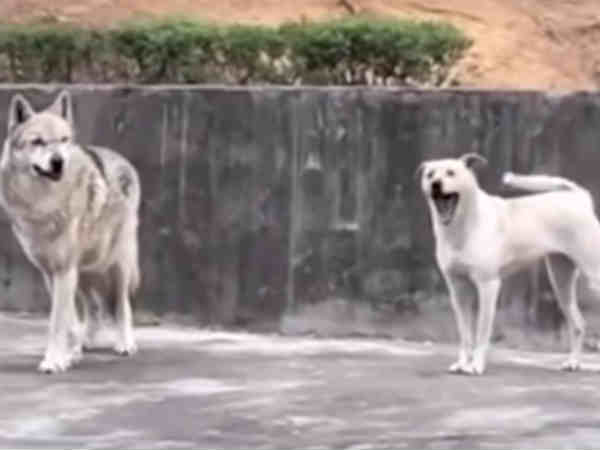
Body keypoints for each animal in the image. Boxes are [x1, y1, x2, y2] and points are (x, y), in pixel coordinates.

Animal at [0, 90, 141, 373]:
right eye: (38, 142)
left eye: (63, 140)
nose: (58, 162)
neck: (44, 205)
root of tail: (123, 160)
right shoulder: (51, 272)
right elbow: (69, 320)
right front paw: (69, 352)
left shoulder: (64, 270)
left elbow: (58, 322)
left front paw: (54, 360)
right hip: (84, 271)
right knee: (94, 309)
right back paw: (85, 342)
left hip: (115, 264)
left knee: (121, 305)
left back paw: (125, 343)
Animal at [418, 153, 600, 375]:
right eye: (429, 174)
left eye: (451, 173)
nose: (435, 184)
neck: (462, 226)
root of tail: (579, 199)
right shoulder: (457, 288)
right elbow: (465, 334)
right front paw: (462, 363)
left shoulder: (488, 285)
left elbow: (481, 332)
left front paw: (476, 365)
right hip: (561, 281)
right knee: (578, 324)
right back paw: (573, 362)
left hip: (593, 276)